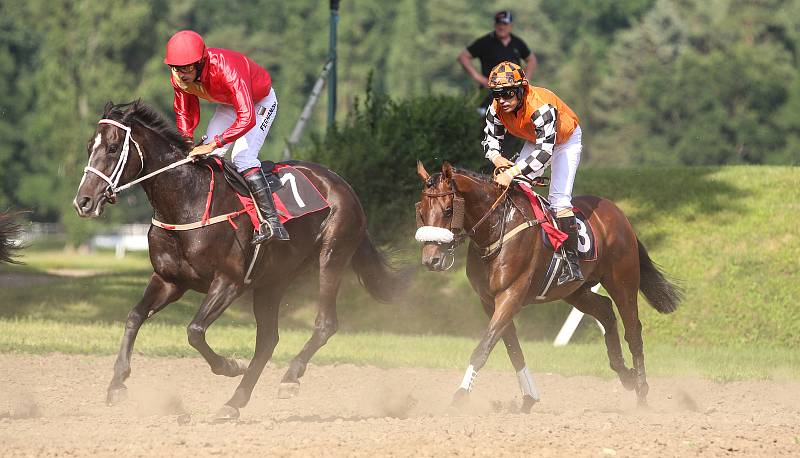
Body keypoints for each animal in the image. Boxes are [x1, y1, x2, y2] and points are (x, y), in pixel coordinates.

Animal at [72, 102, 410, 420]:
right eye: (89, 146)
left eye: (113, 147)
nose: (83, 201)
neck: (188, 201)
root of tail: (343, 186)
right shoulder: (170, 281)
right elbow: (134, 317)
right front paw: (117, 384)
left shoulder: (229, 281)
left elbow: (194, 330)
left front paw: (228, 365)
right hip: (273, 281)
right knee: (268, 340)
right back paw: (234, 402)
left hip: (332, 256)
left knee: (325, 324)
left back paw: (289, 377)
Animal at [412, 162, 680, 412]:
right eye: (421, 211)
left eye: (448, 210)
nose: (431, 260)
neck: (497, 228)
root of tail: (618, 213)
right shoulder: (489, 301)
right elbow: (513, 349)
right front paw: (529, 398)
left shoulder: (511, 295)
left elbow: (484, 347)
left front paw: (460, 395)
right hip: (576, 292)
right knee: (605, 312)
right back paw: (626, 374)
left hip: (622, 282)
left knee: (633, 330)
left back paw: (642, 392)